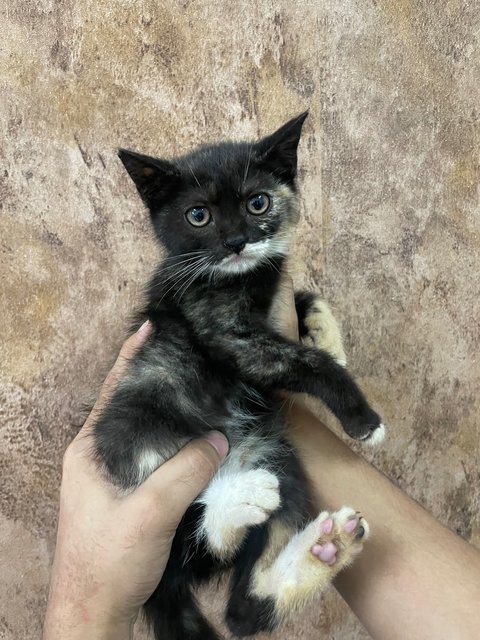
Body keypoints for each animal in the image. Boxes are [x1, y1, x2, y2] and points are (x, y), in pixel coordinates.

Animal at [95, 115, 384, 640]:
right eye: (198, 216)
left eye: (258, 202)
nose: (236, 242)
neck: (238, 275)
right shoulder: (222, 329)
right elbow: (302, 361)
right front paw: (361, 417)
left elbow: (307, 297)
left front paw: (329, 336)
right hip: (137, 440)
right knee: (193, 538)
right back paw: (236, 503)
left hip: (280, 460)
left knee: (243, 612)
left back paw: (326, 548)